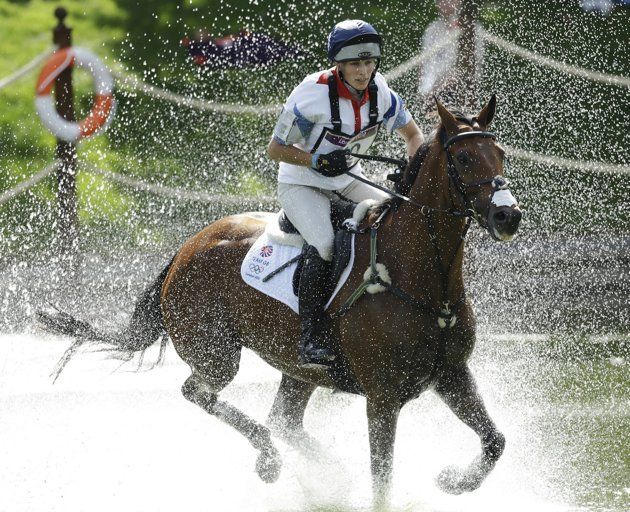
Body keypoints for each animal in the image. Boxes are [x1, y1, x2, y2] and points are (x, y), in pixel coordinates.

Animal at [38, 96, 524, 504]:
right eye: (464, 158)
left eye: (500, 154)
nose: (508, 215)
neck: (420, 276)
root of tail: (187, 246)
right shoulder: (382, 398)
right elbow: (382, 481)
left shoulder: (452, 375)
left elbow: (496, 441)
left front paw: (454, 481)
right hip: (216, 354)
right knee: (201, 392)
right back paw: (271, 459)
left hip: (297, 367)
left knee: (283, 420)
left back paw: (328, 473)